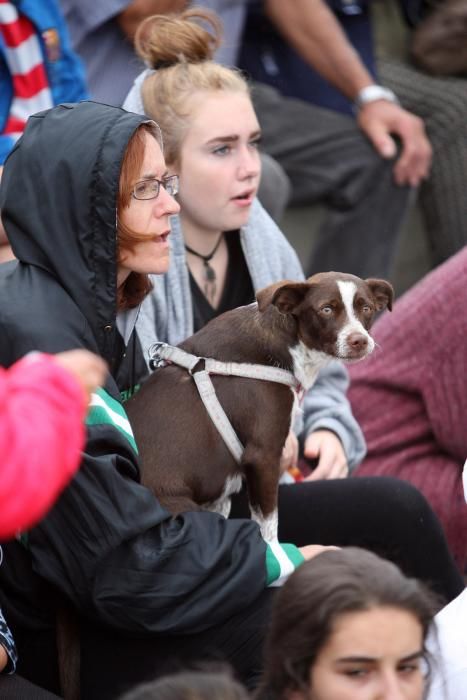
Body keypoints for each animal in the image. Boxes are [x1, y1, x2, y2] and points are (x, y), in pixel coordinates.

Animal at [126, 272, 394, 540]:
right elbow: (268, 523)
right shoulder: (263, 456)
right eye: (326, 309)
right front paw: (275, 549)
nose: (359, 340)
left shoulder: (223, 491)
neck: (289, 342)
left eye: (367, 308)